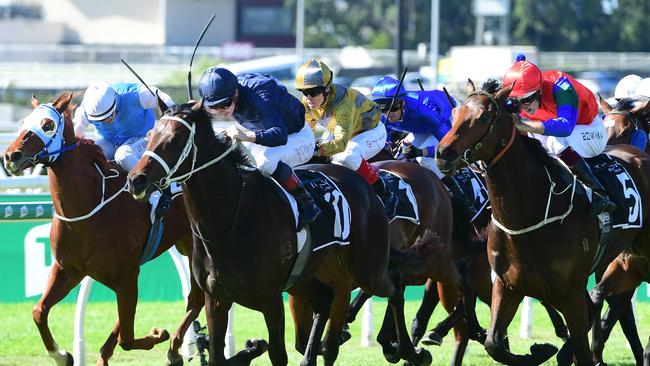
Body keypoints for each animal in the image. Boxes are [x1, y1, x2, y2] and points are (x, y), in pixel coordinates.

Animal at [1, 92, 202, 366]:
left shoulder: (127, 275)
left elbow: (127, 338)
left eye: (47, 125)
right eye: (23, 122)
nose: (11, 156)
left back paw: (174, 349)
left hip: (194, 248)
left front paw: (158, 334)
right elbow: (38, 311)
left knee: (196, 298)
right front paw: (62, 355)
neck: (88, 210)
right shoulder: (68, 269)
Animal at [125, 101, 430, 366]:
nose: (136, 179)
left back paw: (409, 351)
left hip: (366, 267)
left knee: (394, 285)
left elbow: (277, 355)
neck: (230, 220)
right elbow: (217, 357)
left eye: (176, 138)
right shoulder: (216, 298)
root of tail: (368, 186)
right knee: (327, 303)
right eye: (150, 135)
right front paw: (249, 348)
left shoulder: (271, 298)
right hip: (310, 276)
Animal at [432, 81, 650, 366]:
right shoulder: (507, 286)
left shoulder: (571, 295)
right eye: (455, 112)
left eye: (483, 118)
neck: (528, 217)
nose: (443, 153)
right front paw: (540, 350)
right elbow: (494, 343)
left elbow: (583, 344)